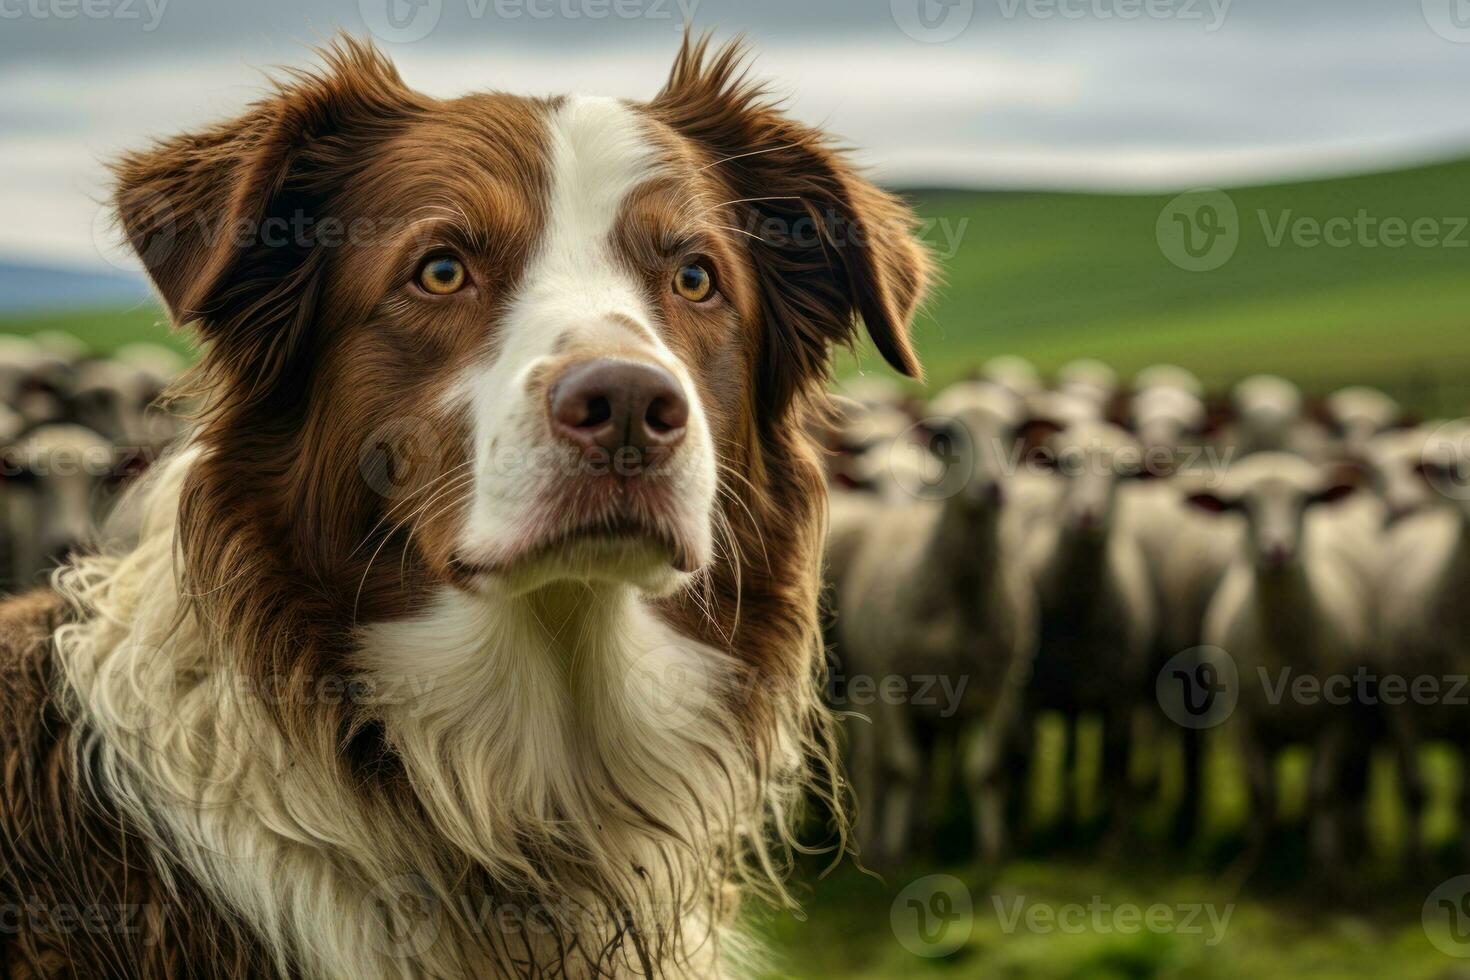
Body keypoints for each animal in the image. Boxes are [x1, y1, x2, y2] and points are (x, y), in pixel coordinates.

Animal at [829, 382, 1046, 863]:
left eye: (1011, 431)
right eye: (946, 436)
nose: (993, 488)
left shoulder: (1001, 686)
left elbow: (986, 772)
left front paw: (992, 853)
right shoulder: (891, 685)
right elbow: (901, 769)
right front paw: (893, 854)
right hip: (867, 682)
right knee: (873, 764)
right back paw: (873, 840)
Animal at [1023, 417, 1158, 840]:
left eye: (1126, 473)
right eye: (1066, 463)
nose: (1087, 515)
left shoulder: (1120, 697)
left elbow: (1117, 763)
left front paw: (1113, 843)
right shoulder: (1024, 697)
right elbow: (1021, 759)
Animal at [1187, 455, 1381, 869]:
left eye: (1306, 501)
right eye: (1241, 507)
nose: (1277, 551)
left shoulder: (1336, 721)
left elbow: (1320, 792)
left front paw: (1327, 866)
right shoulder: (1245, 723)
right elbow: (1263, 793)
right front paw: (1252, 863)